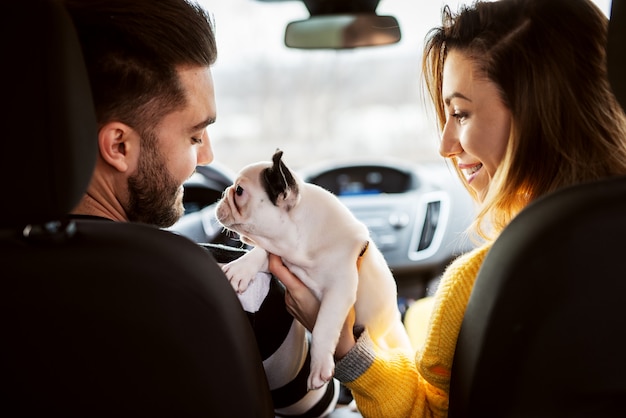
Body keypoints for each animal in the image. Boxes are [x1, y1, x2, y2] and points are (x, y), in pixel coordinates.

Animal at [214, 149, 410, 390]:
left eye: (240, 191)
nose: (224, 192)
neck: (298, 241)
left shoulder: (339, 290)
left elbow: (323, 328)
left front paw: (318, 367)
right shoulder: (281, 252)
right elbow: (262, 252)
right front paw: (242, 268)